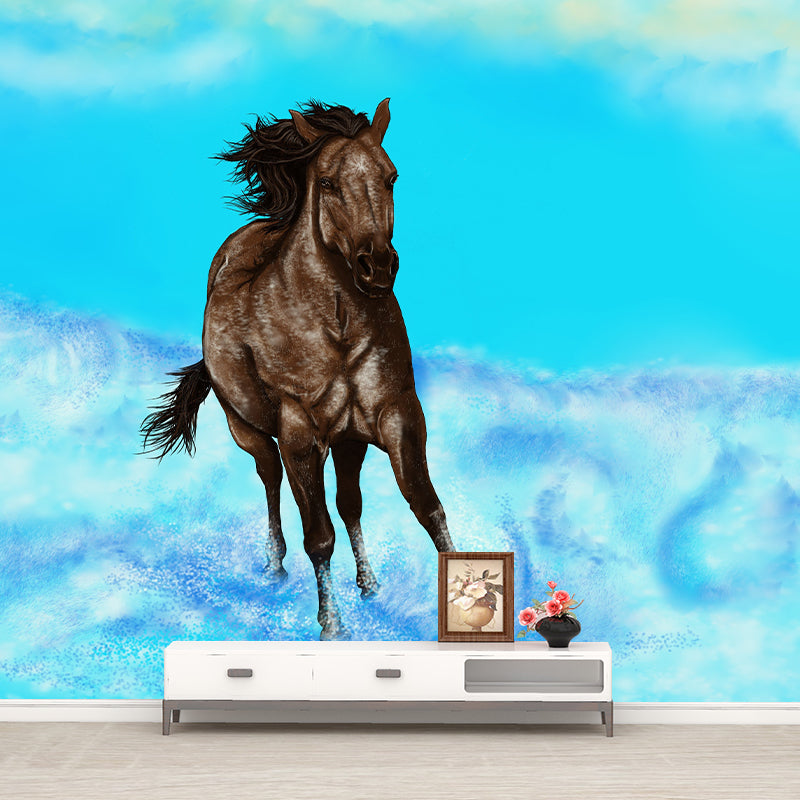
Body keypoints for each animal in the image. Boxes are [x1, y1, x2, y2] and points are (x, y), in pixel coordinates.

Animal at [141, 99, 455, 639]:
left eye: (391, 176)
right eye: (327, 182)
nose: (378, 268)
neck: (337, 327)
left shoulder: (397, 417)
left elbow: (426, 507)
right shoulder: (300, 433)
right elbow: (319, 536)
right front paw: (332, 626)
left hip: (348, 441)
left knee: (350, 502)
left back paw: (369, 583)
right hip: (248, 428)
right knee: (271, 482)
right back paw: (273, 565)